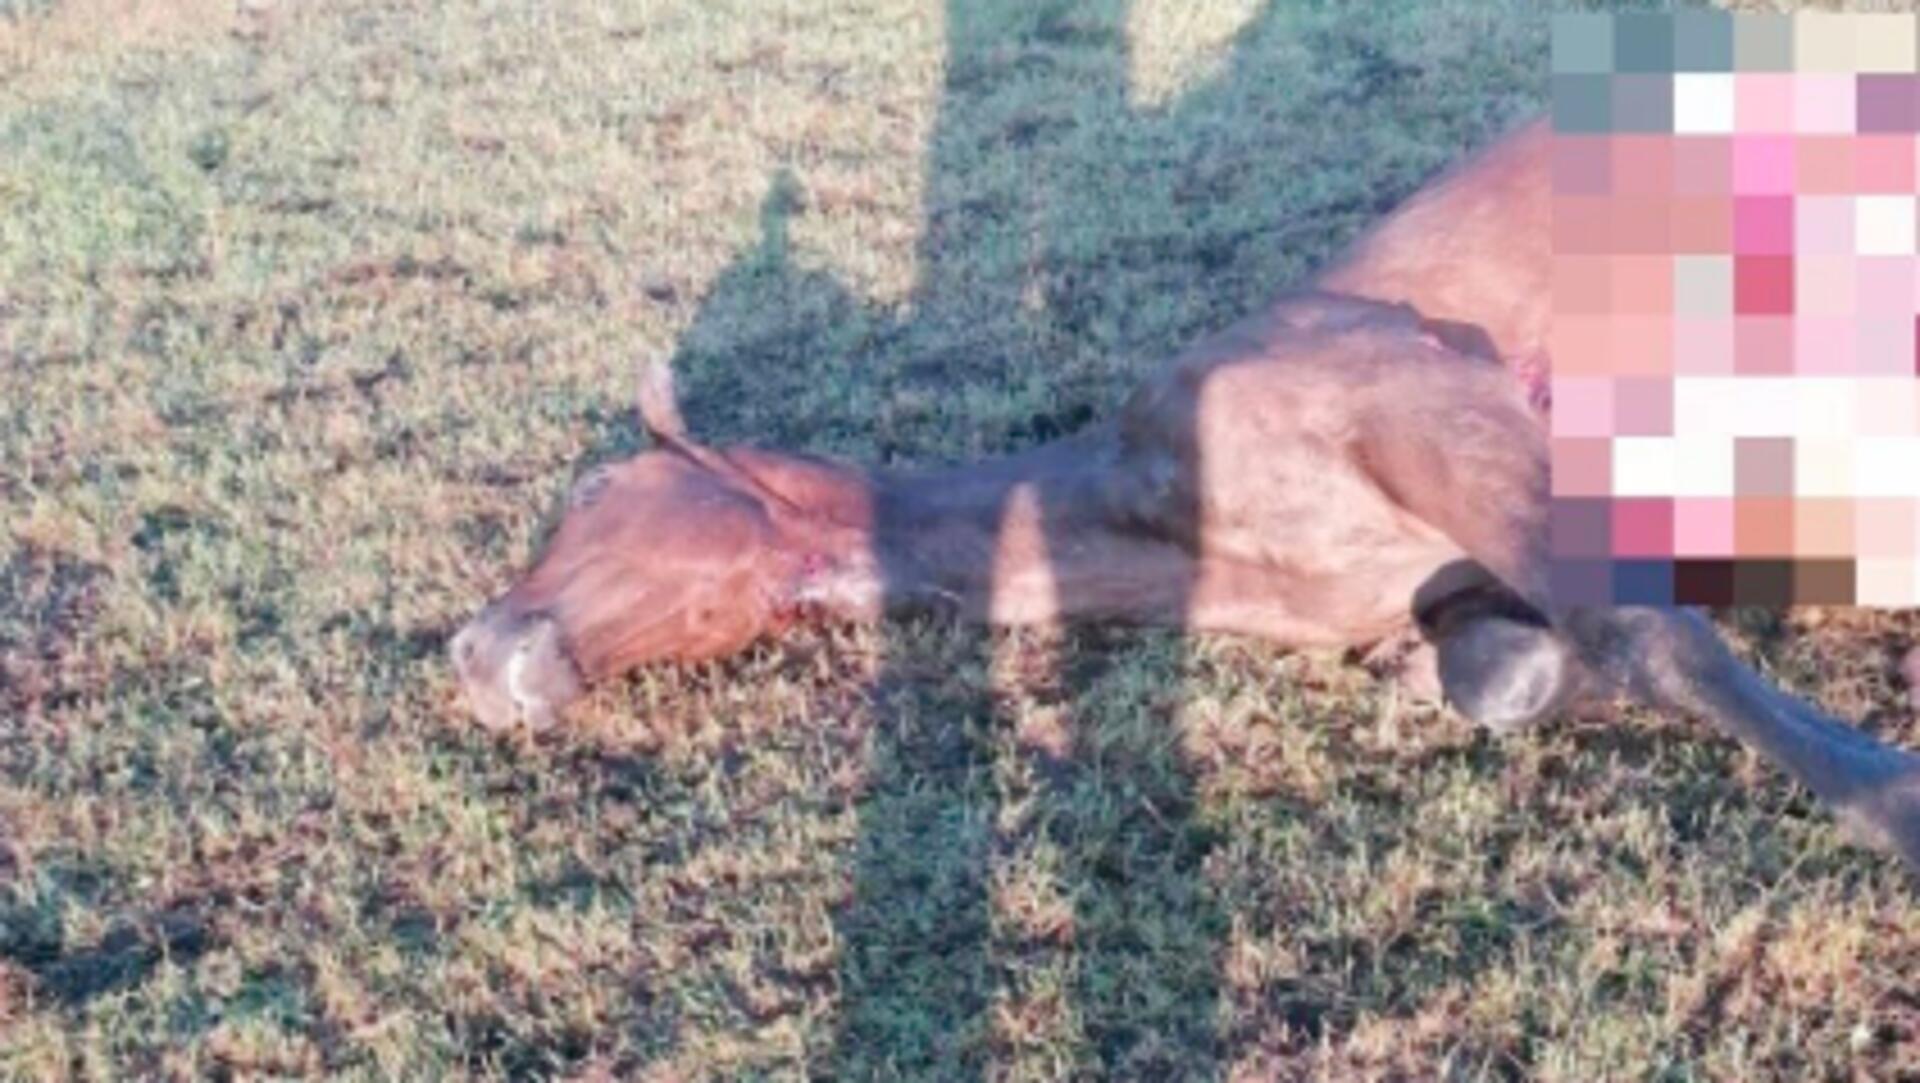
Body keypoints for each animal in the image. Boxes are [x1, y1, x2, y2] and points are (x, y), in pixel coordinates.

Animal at [453, 118, 1920, 875]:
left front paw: (1890, 796)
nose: (471, 652)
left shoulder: (1427, 404)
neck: (1168, 502)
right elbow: (1507, 663)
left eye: (597, 488)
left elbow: (1651, 634)